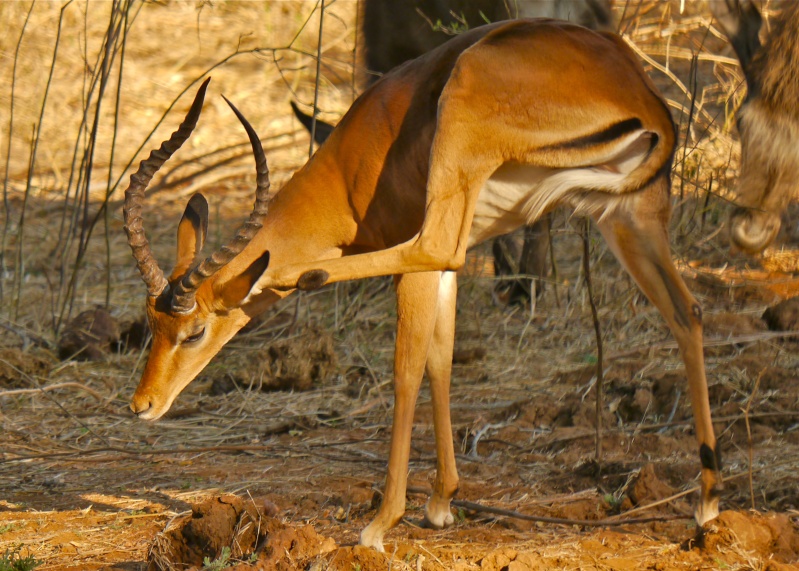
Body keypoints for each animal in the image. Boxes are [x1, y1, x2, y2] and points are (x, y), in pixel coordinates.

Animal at [125, 20, 724, 552]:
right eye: (150, 324)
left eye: (195, 331)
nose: (141, 405)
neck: (351, 168)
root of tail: (638, 90)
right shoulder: (450, 272)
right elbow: (442, 358)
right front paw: (440, 503)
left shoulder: (423, 260)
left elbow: (407, 369)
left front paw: (383, 523)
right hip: (628, 216)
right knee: (688, 312)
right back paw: (706, 504)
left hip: (469, 138)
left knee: (429, 248)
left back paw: (304, 275)